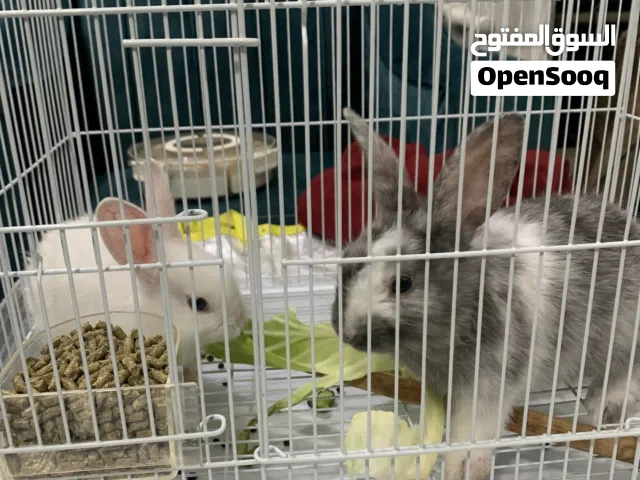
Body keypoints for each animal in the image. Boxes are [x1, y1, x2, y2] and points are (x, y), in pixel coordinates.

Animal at [332, 107, 640, 480]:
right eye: (347, 259)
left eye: (403, 284)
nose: (346, 333)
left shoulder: (492, 381)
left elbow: (473, 433)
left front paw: (462, 469)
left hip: (624, 334)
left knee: (627, 367)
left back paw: (605, 405)